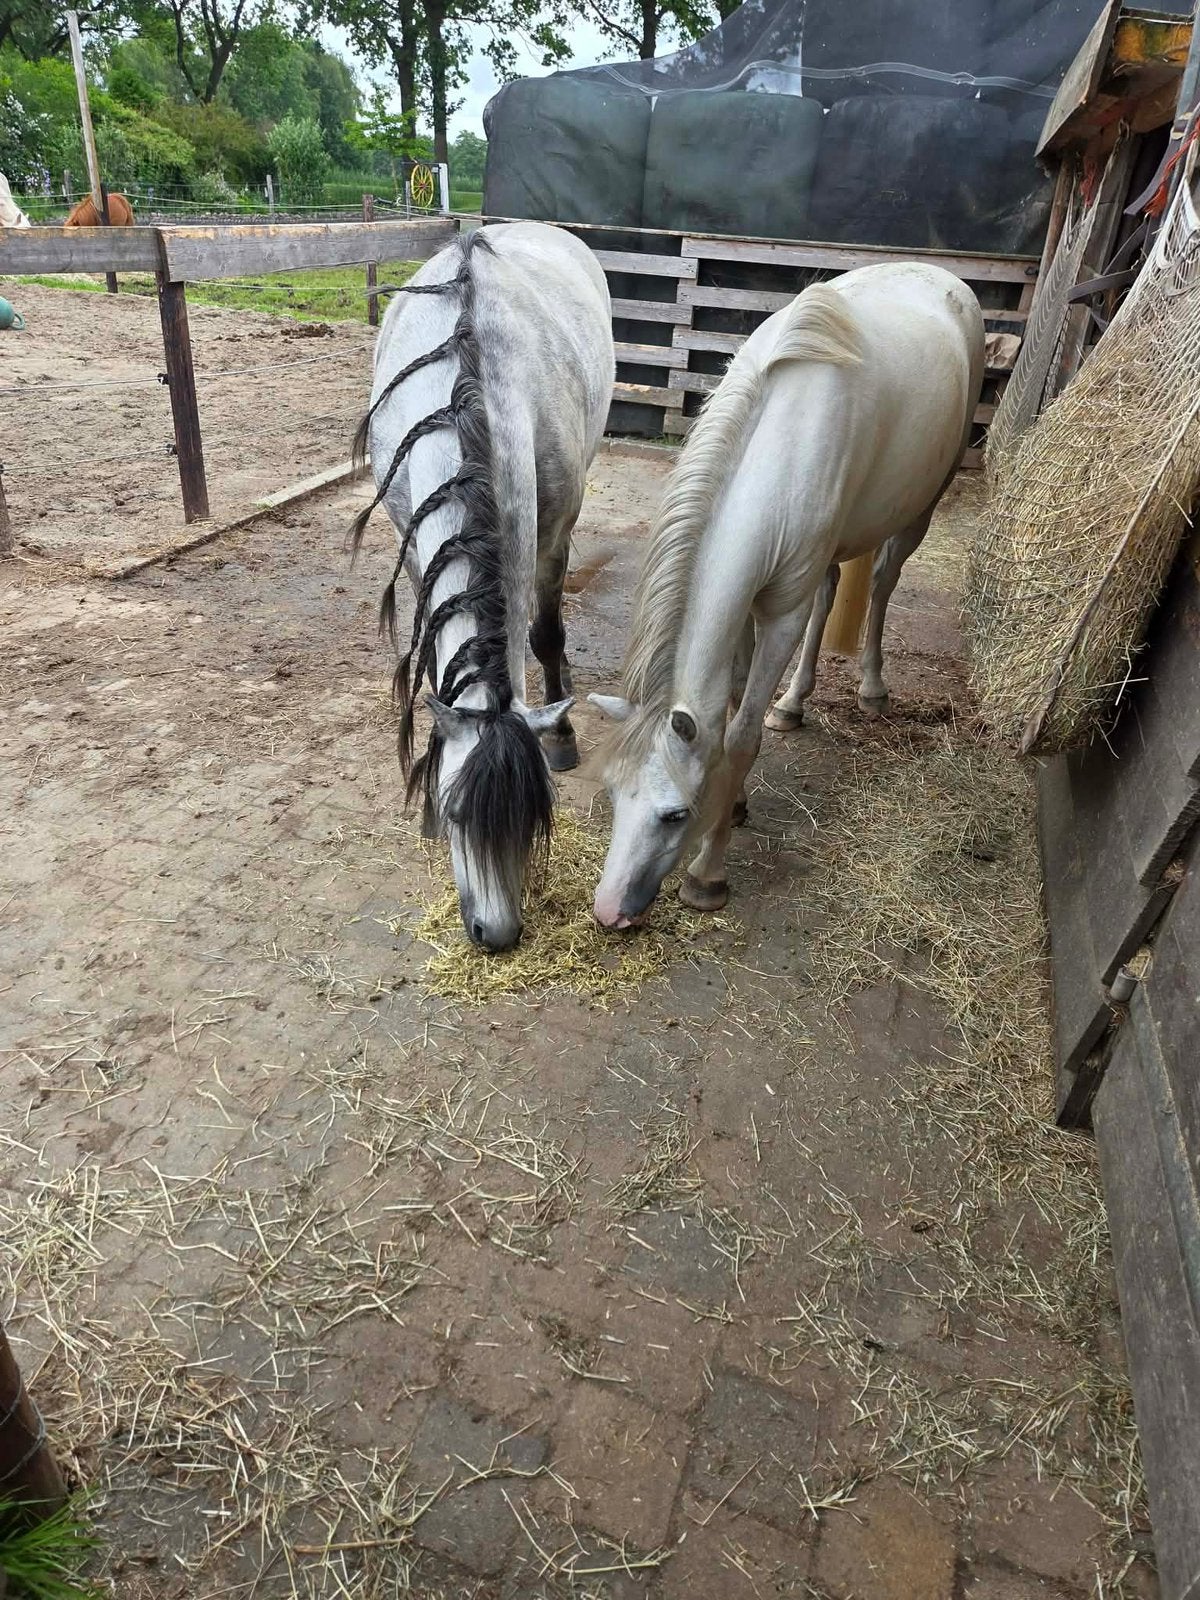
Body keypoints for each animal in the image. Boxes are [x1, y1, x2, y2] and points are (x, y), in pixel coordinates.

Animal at [350, 222, 614, 951]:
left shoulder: (553, 532)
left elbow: (545, 633)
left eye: (530, 818)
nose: (495, 935)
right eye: (451, 808)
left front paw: (562, 737)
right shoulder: (416, 543)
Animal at [590, 260, 984, 928]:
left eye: (673, 814)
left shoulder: (779, 616)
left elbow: (742, 734)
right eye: (613, 793)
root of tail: (943, 276)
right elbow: (726, 710)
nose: (609, 911)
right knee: (831, 595)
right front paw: (735, 804)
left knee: (882, 585)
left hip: (920, 509)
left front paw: (708, 873)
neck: (784, 439)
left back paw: (873, 689)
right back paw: (794, 703)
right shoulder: (752, 599)